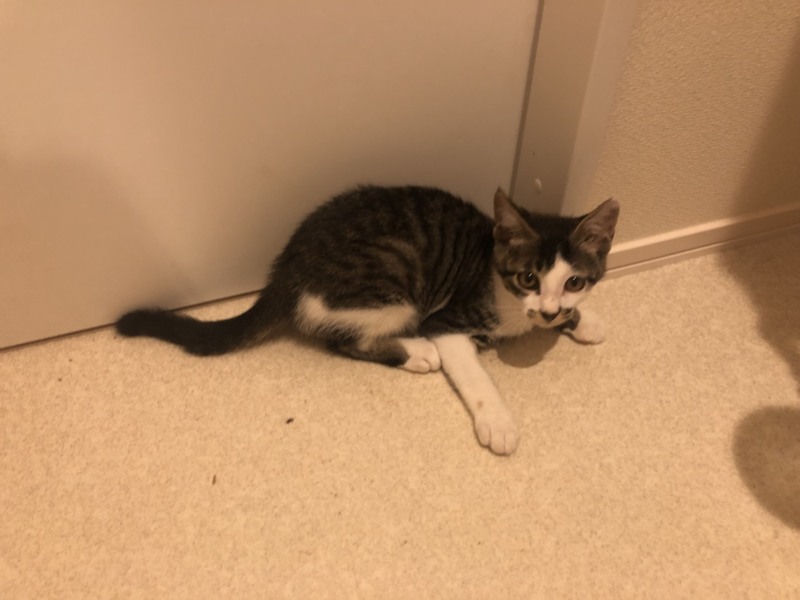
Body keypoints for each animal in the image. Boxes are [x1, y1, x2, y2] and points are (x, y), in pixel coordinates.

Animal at [116, 186, 619, 455]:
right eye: (528, 276)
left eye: (574, 282)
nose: (550, 309)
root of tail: (286, 268)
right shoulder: (447, 319)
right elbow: (475, 376)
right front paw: (497, 421)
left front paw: (585, 320)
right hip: (396, 286)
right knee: (344, 339)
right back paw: (417, 353)